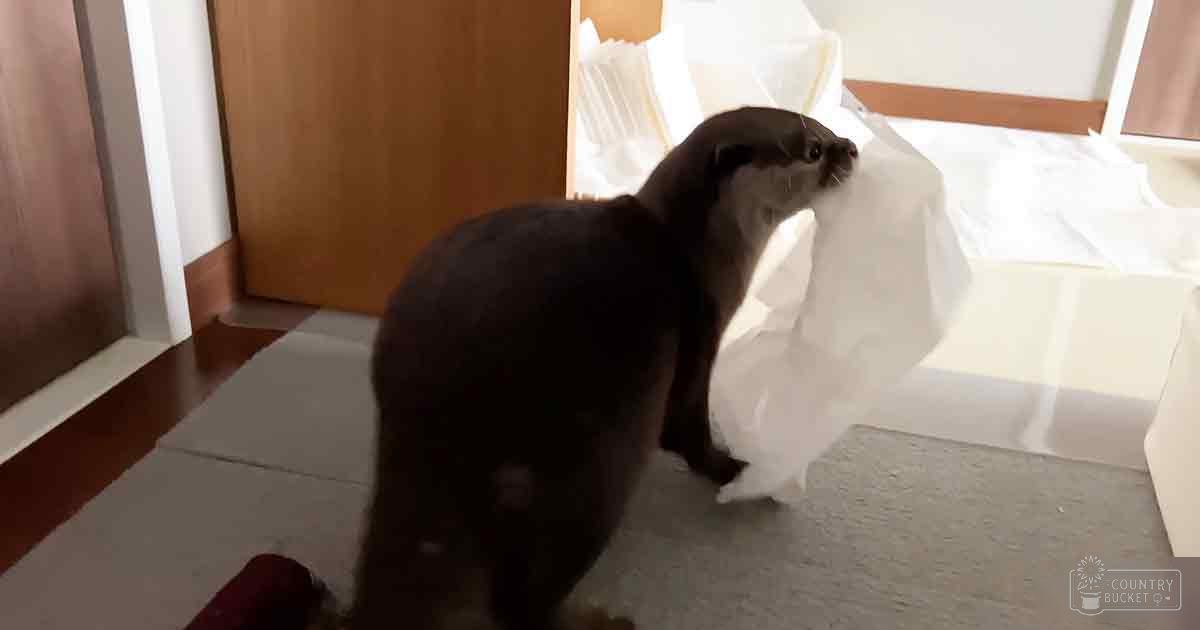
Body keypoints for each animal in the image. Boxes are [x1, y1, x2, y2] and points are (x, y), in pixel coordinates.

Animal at [351, 107, 857, 630]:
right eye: (814, 148)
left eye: (827, 131)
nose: (853, 148)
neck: (693, 251)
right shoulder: (700, 337)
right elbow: (687, 431)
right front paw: (733, 469)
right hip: (600, 466)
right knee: (524, 598)